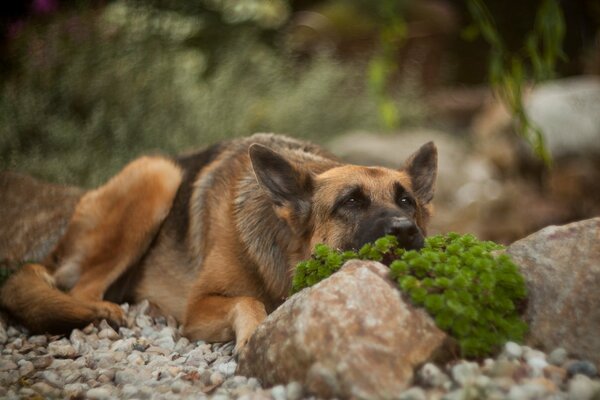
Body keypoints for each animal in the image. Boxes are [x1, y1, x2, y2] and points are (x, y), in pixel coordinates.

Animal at [0, 134, 436, 350]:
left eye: (406, 201)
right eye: (351, 202)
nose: (405, 229)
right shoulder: (199, 307)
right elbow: (248, 300)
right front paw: (252, 337)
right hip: (158, 173)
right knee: (83, 290)